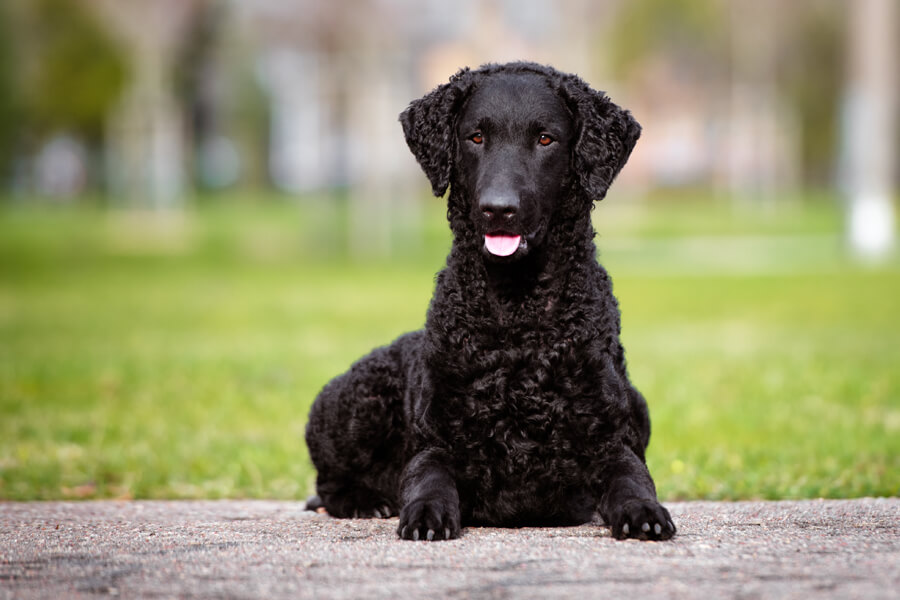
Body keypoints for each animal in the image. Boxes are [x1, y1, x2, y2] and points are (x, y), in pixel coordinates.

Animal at [304, 63, 676, 540]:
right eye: (476, 137)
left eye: (545, 139)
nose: (498, 209)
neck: (518, 317)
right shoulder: (435, 442)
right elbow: (428, 478)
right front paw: (425, 514)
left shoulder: (610, 441)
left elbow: (632, 478)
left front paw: (643, 511)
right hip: (357, 402)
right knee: (327, 484)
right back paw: (366, 501)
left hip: (639, 405)